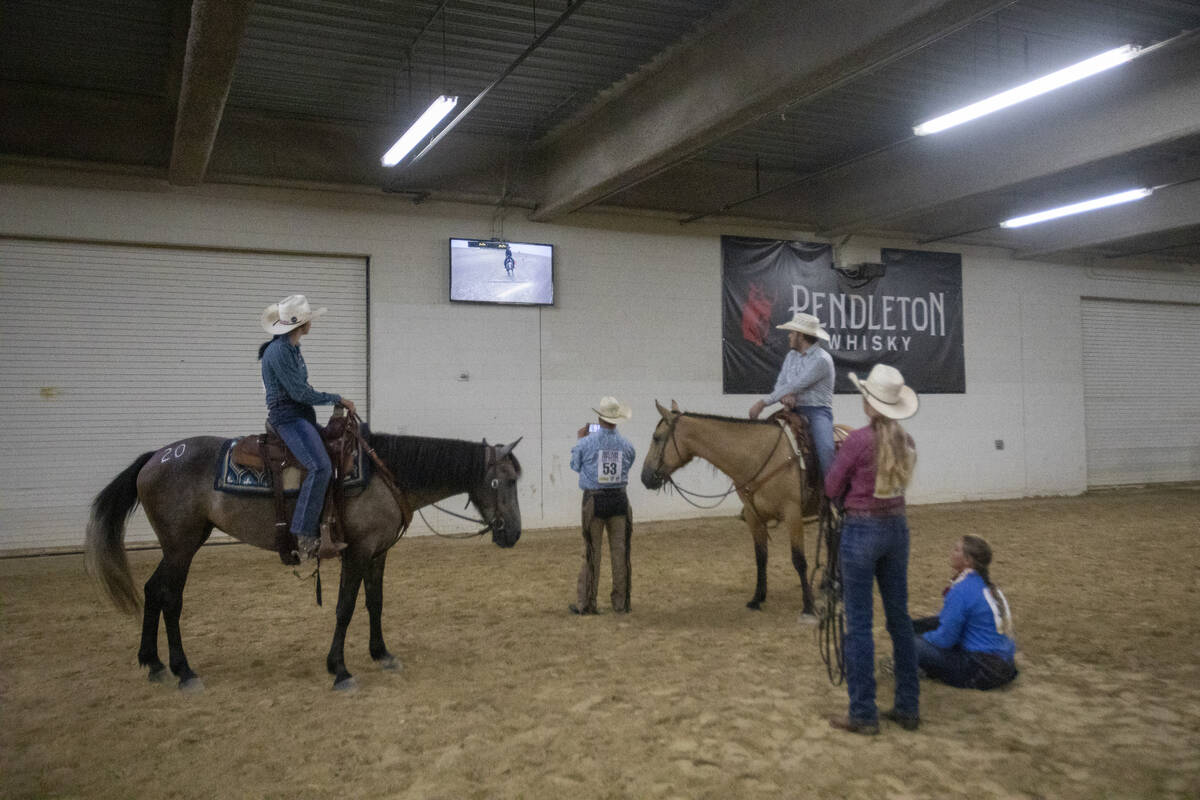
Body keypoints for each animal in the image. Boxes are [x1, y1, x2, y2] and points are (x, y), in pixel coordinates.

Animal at [83, 429, 516, 690]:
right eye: (505, 481)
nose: (512, 533)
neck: (384, 477)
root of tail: (157, 456)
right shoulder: (357, 553)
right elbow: (345, 607)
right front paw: (339, 669)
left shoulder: (378, 553)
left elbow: (374, 603)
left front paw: (382, 654)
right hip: (181, 545)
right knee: (170, 597)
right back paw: (183, 670)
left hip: (182, 544)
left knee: (152, 589)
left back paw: (153, 663)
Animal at [638, 402, 825, 618]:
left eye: (656, 437)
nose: (645, 477)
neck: (761, 458)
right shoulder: (754, 517)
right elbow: (761, 557)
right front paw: (757, 598)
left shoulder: (792, 513)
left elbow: (799, 560)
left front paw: (808, 606)